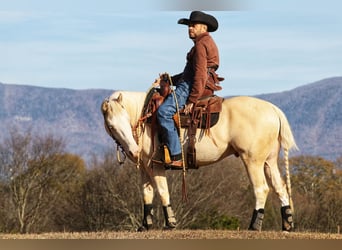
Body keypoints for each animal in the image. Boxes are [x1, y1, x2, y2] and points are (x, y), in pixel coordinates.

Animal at [100, 90, 298, 232]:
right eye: (111, 126)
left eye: (126, 119)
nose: (133, 151)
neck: (147, 117)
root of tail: (273, 110)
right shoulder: (143, 167)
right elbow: (147, 194)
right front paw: (145, 226)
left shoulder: (155, 165)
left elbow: (162, 191)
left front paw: (170, 223)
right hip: (269, 161)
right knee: (280, 187)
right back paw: (287, 225)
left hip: (252, 160)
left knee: (261, 189)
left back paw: (254, 226)